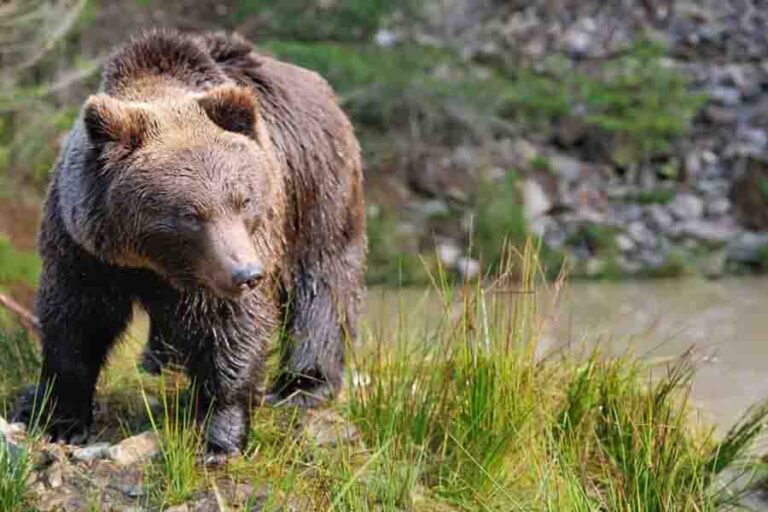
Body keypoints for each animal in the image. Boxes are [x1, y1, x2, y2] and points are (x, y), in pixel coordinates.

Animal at [13, 29, 366, 453]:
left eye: (243, 199)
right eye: (190, 214)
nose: (247, 274)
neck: (150, 259)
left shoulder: (237, 253)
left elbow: (232, 328)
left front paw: (221, 435)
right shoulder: (82, 246)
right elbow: (76, 322)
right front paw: (59, 419)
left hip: (318, 187)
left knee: (322, 280)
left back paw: (303, 384)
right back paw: (159, 362)